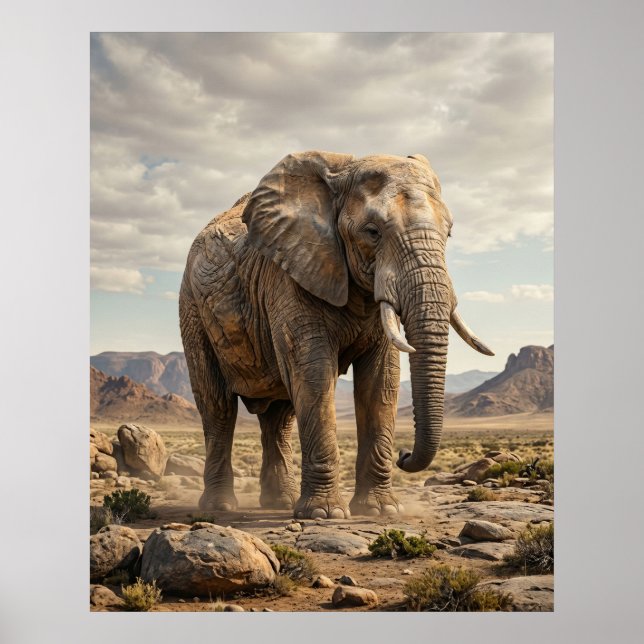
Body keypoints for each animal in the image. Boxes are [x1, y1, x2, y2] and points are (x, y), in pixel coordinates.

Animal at [179, 150, 493, 519]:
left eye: (449, 233)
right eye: (372, 232)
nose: (403, 455)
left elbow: (381, 381)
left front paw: (380, 511)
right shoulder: (290, 274)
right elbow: (314, 374)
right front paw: (324, 515)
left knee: (278, 417)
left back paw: (279, 503)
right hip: (192, 308)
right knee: (217, 406)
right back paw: (221, 507)